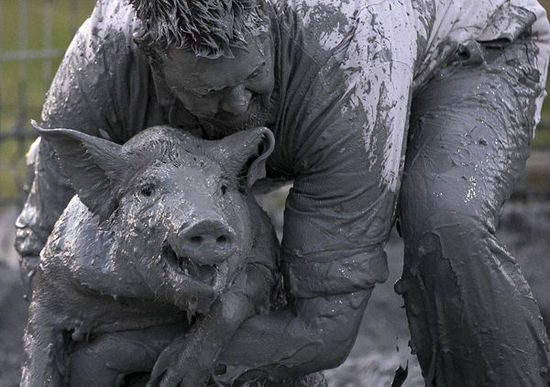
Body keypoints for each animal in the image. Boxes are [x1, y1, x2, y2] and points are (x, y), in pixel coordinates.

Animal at [19, 124, 282, 387]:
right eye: (146, 189)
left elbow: (236, 297)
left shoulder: (264, 254)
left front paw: (168, 379)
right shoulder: (53, 273)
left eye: (223, 188)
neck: (150, 302)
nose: (207, 224)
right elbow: (40, 343)